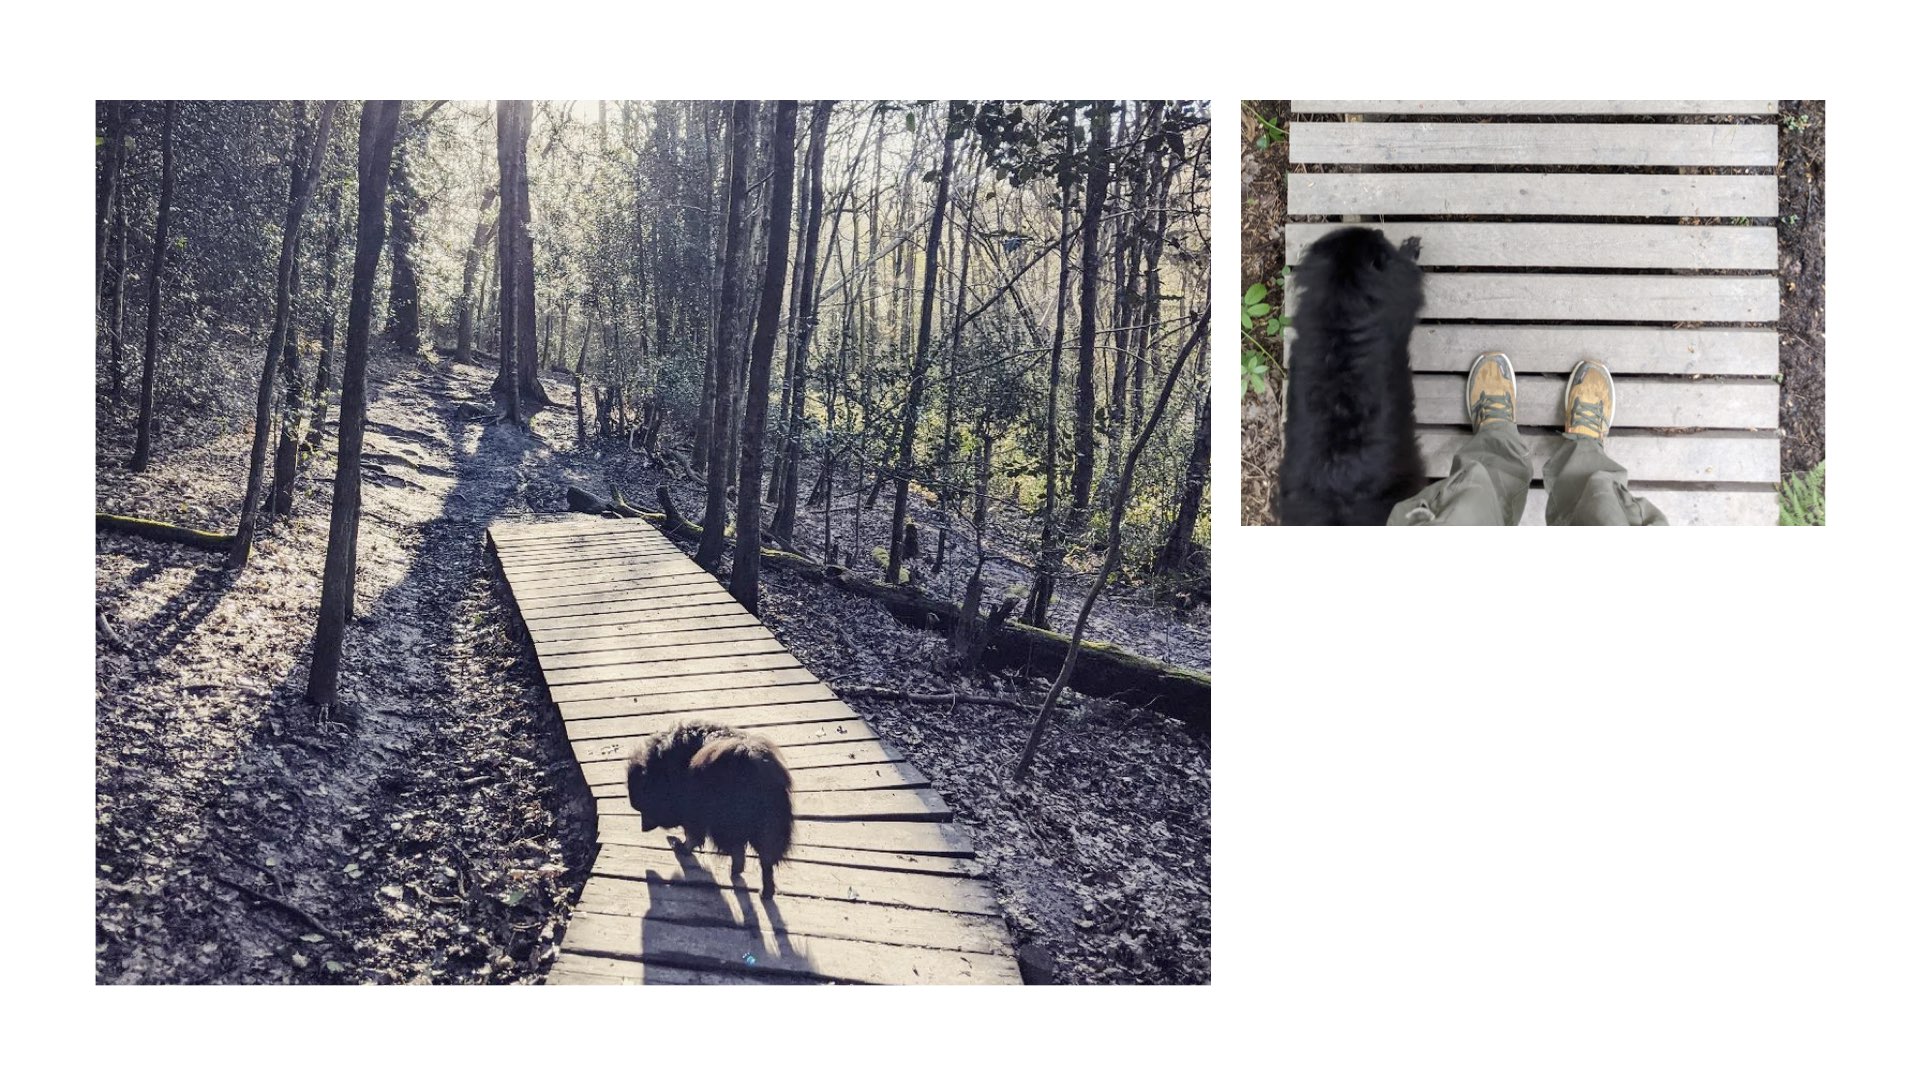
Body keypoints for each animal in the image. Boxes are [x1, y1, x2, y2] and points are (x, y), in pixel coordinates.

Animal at [629, 718, 794, 895]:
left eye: (644, 808)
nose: (643, 828)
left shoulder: (692, 813)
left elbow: (692, 836)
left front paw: (682, 846)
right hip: (767, 828)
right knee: (764, 860)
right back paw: (764, 890)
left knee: (738, 851)